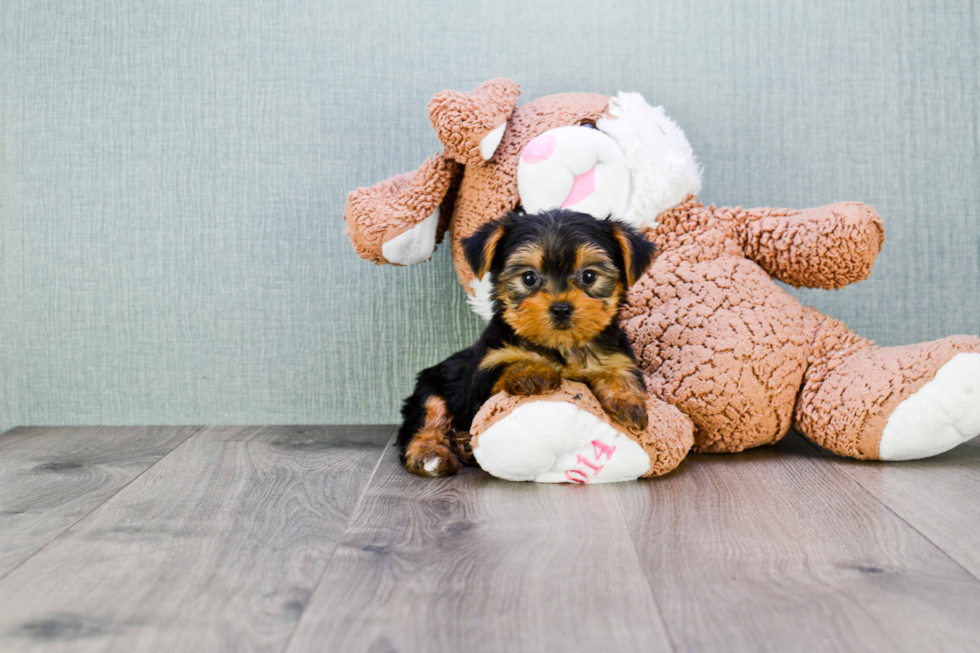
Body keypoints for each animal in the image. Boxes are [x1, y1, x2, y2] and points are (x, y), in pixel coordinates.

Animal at [394, 210, 656, 478]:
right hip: (430, 386)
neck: (560, 346)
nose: (561, 308)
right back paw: (430, 454)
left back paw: (462, 444)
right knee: (428, 418)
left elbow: (620, 372)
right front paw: (532, 372)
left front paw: (627, 400)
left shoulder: (617, 356)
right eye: (529, 278)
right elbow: (510, 363)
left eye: (589, 276)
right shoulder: (485, 371)